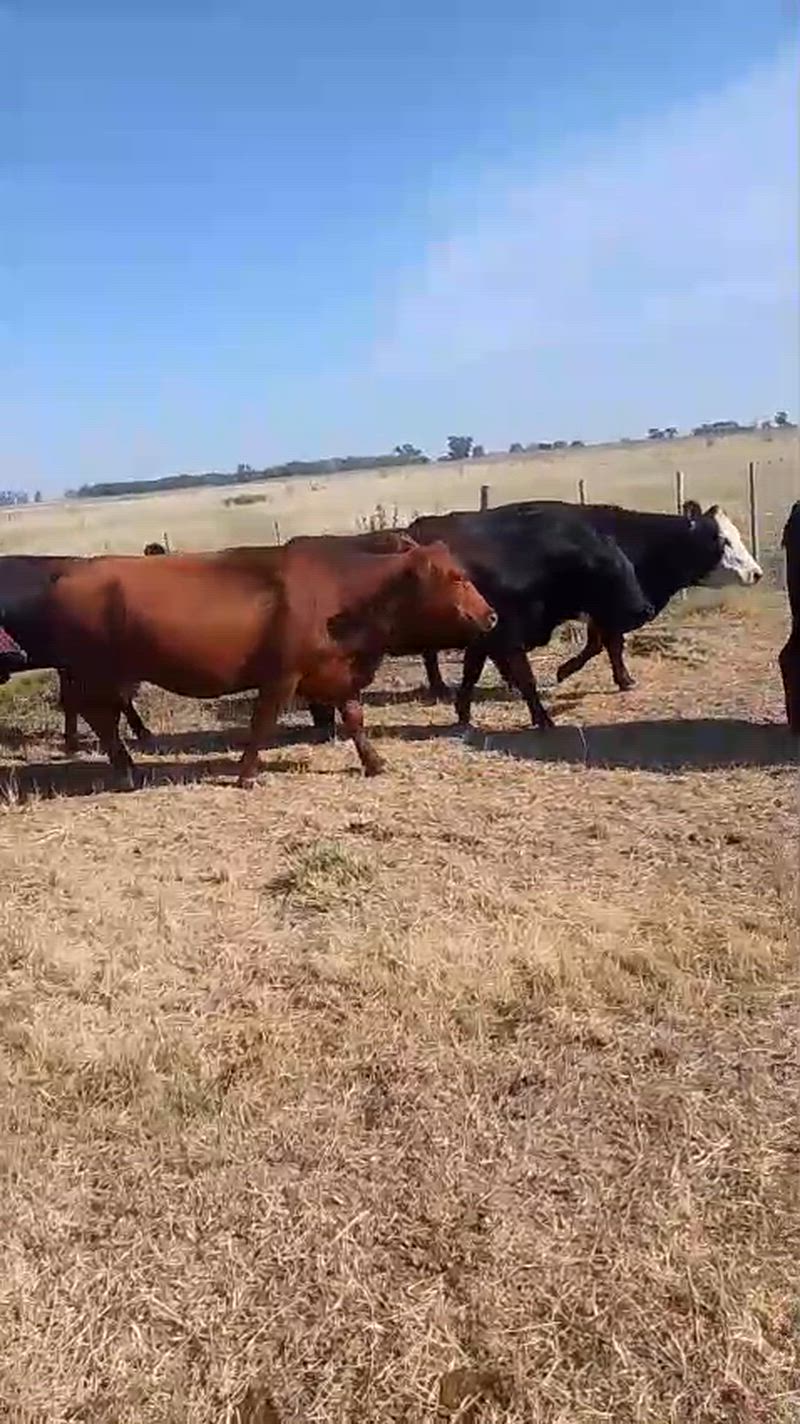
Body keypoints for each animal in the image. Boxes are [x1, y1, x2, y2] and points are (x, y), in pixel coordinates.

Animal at [17, 538, 495, 787]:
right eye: (456, 577)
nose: (491, 615)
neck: (344, 594)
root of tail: (68, 573)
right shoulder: (282, 676)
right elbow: (263, 722)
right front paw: (246, 775)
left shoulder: (334, 671)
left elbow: (355, 718)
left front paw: (375, 763)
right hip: (95, 673)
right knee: (99, 717)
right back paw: (127, 769)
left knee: (101, 717)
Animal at [404, 502, 655, 728]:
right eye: (610, 574)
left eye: (630, 568)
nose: (647, 610)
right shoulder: (506, 637)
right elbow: (524, 678)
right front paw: (542, 718)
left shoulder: (486, 639)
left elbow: (471, 674)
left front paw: (463, 713)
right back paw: (440, 688)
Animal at [419, 500, 763, 706]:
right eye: (722, 540)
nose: (756, 573)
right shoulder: (608, 608)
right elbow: (607, 644)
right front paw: (568, 671)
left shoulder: (606, 610)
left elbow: (605, 645)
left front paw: (619, 679)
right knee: (431, 651)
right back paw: (441, 686)